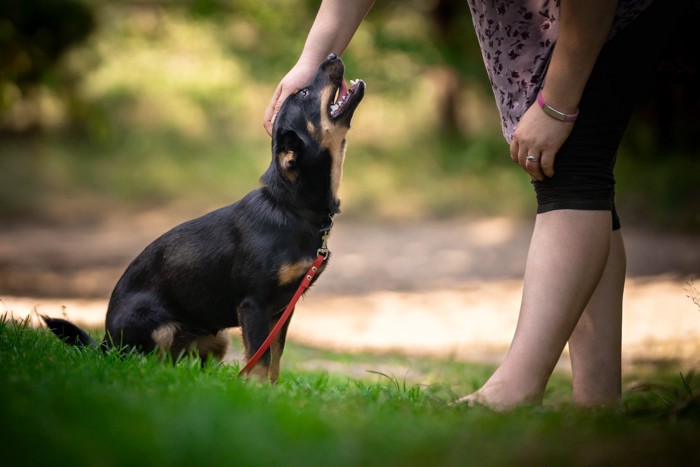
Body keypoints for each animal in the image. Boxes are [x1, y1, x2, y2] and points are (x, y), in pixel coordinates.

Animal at [42, 53, 366, 382]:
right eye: (304, 93)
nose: (331, 55)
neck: (290, 208)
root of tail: (106, 343)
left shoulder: (281, 311)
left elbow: (274, 360)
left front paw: (273, 393)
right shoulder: (255, 305)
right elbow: (259, 362)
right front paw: (257, 392)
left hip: (219, 338)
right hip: (157, 327)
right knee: (147, 362)